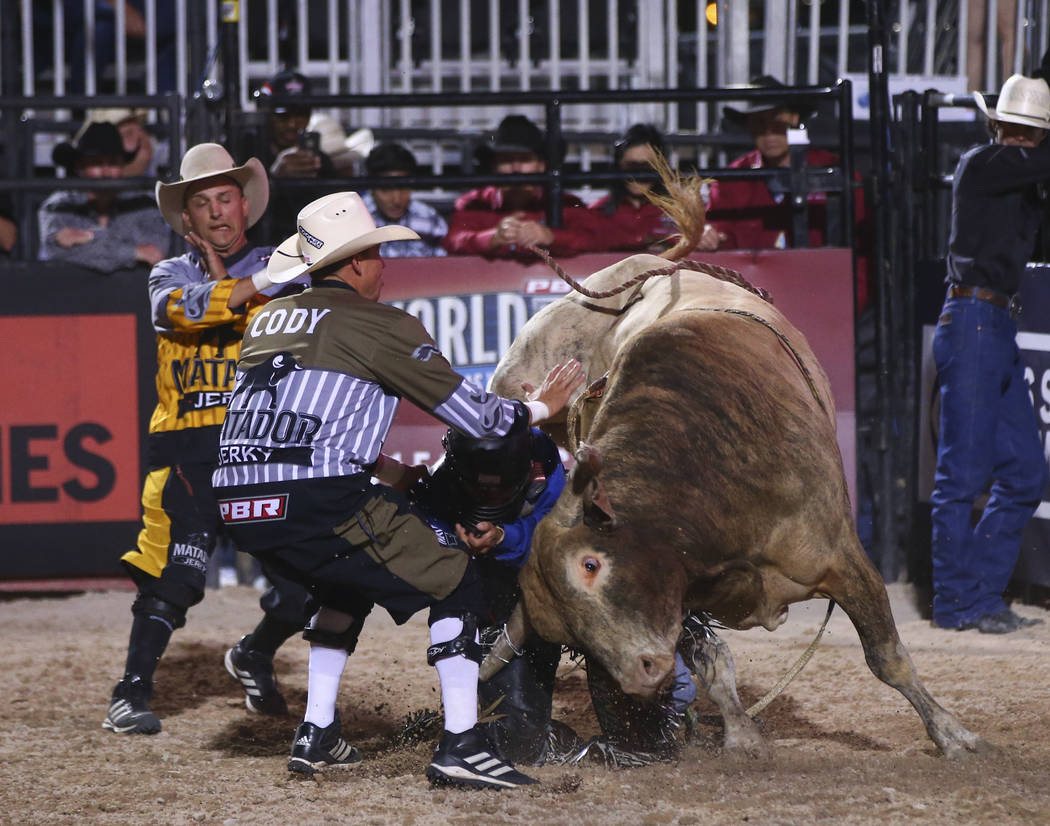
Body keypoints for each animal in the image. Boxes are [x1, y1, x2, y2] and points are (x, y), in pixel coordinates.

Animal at [482, 253, 982, 764]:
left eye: (590, 564)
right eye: (569, 633)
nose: (640, 674)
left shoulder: (844, 559)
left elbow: (887, 657)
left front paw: (951, 733)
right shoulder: (682, 593)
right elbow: (714, 664)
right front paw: (742, 736)